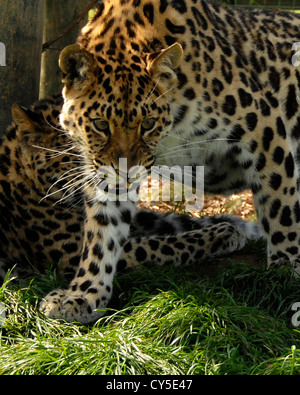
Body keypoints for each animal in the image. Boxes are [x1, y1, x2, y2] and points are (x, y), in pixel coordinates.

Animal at [0, 95, 260, 322]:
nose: (123, 172)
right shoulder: (74, 252)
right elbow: (162, 244)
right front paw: (225, 234)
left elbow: (167, 220)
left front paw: (236, 225)